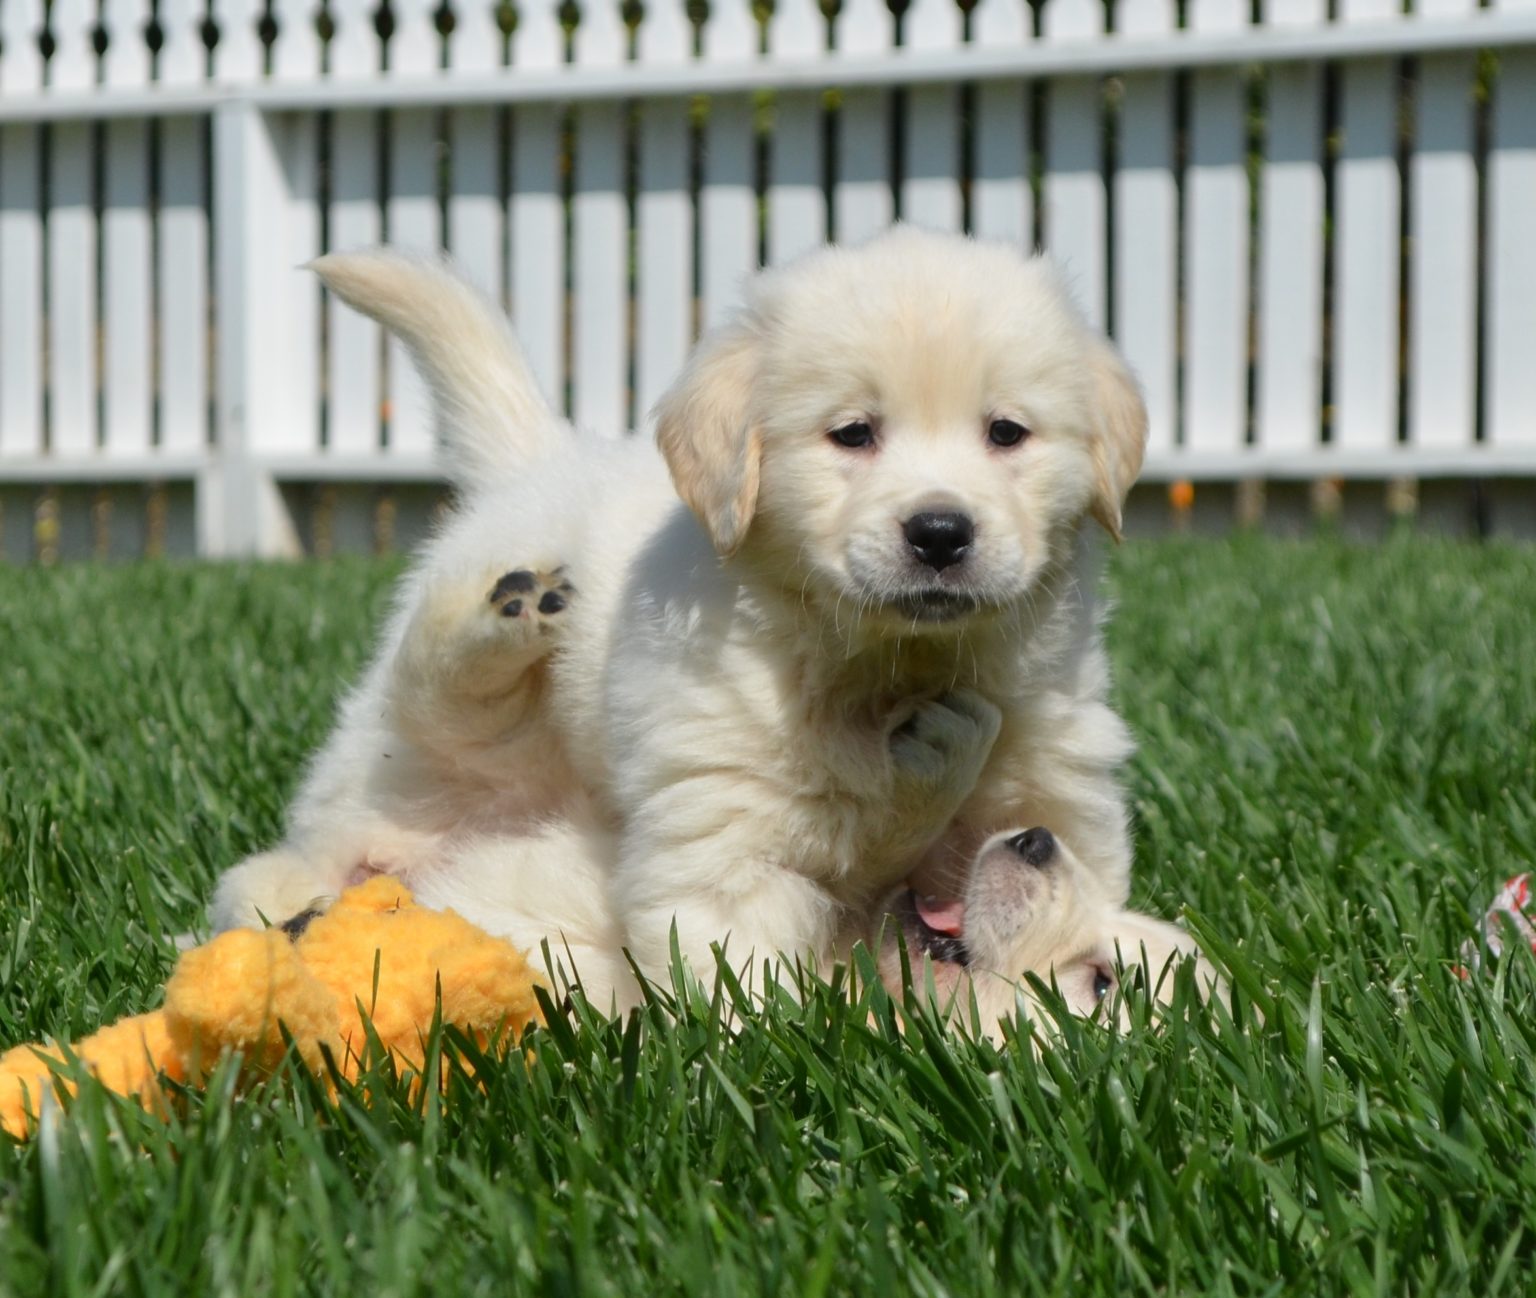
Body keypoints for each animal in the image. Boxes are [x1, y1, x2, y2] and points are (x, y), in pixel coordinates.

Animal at [210, 227, 1155, 1007]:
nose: (940, 533)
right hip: (428, 749)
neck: (888, 663)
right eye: (853, 434)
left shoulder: (1058, 778)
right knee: (420, 710)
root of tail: (548, 457)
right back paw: (504, 614)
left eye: (1008, 432)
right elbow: (750, 965)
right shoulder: (719, 827)